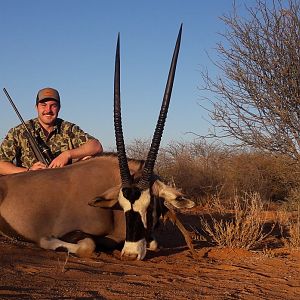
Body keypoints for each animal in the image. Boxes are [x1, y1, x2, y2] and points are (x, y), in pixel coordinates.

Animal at [0, 24, 195, 260]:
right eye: (122, 205)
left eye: (150, 207)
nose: (130, 255)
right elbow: (87, 245)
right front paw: (49, 242)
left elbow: (154, 244)